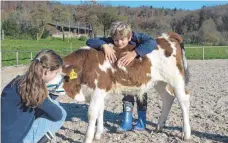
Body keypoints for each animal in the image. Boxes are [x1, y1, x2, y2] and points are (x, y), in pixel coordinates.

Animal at [50, 31, 191, 142]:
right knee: (168, 98)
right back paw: (159, 126)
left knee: (183, 101)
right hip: (159, 82)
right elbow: (100, 111)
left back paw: (186, 134)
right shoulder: (100, 92)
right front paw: (98, 135)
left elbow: (92, 114)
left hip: (176, 79)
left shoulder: (97, 90)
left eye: (50, 74)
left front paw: (88, 138)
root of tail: (166, 37)